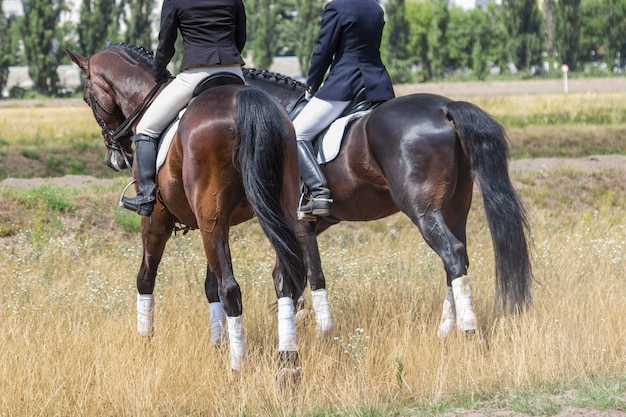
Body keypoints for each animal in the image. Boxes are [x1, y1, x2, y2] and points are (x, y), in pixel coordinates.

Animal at [64, 43, 306, 374]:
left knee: (232, 288)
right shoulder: (215, 223)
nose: (114, 159)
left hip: (207, 218)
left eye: (87, 99)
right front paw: (217, 344)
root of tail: (244, 101)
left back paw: (238, 366)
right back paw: (288, 361)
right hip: (269, 214)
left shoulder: (156, 220)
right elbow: (209, 286)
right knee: (284, 278)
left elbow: (145, 277)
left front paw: (145, 341)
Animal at [241, 67, 532, 334]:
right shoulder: (310, 223)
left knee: (452, 253)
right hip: (455, 209)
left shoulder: (297, 221)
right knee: (458, 258)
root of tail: (445, 108)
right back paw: (446, 328)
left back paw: (466, 328)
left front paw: (322, 329)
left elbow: (310, 272)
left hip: (423, 212)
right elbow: (286, 274)